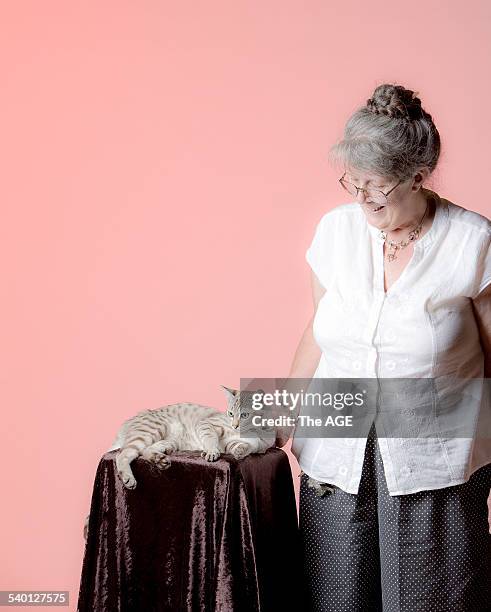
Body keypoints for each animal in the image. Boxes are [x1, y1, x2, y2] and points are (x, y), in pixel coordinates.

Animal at [84, 388, 276, 540]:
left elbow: (247, 447)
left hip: (168, 442)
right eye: (230, 414)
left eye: (244, 415)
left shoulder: (251, 444)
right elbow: (211, 439)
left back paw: (160, 460)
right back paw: (128, 478)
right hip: (152, 430)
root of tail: (128, 422)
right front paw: (211, 452)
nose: (235, 425)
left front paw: (241, 450)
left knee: (145, 452)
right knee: (123, 454)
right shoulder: (207, 425)